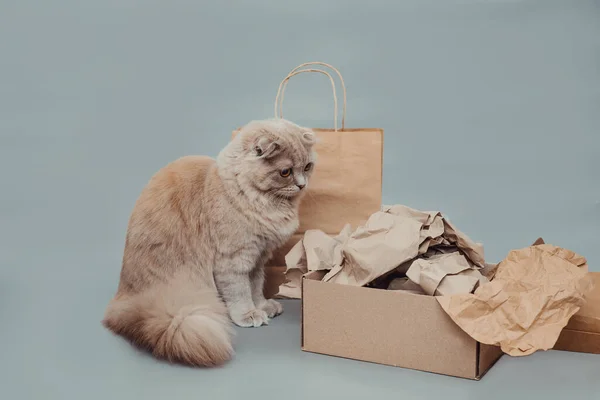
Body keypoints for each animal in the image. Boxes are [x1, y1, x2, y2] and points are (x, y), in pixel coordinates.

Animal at [102, 118, 318, 366]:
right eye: (285, 172)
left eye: (307, 167)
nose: (302, 185)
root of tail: (124, 299)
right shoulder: (234, 261)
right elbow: (240, 292)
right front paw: (249, 314)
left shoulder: (257, 259)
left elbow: (255, 287)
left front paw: (263, 306)